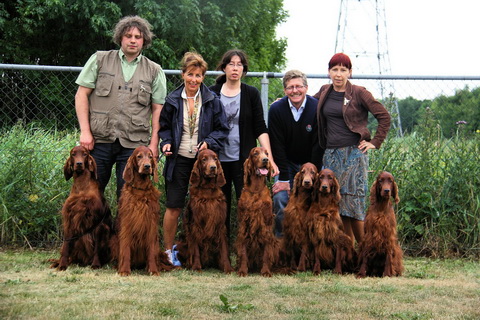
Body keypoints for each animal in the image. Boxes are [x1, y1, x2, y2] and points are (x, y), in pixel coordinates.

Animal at [116, 147, 172, 276]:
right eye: (139, 156)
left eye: (150, 157)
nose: (147, 166)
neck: (140, 189)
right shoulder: (127, 223)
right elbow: (125, 249)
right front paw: (124, 270)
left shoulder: (151, 224)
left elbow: (151, 250)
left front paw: (153, 270)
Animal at [233, 146, 276, 276]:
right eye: (255, 153)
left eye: (267, 153)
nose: (266, 160)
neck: (256, 190)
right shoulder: (244, 224)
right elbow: (243, 253)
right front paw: (242, 270)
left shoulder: (266, 225)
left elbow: (266, 253)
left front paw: (266, 271)